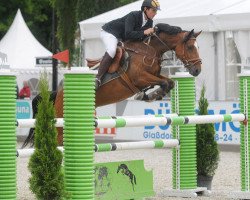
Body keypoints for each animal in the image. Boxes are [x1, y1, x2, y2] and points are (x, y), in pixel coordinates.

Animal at [22, 23, 202, 147]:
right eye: (190, 47)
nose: (197, 70)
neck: (149, 50)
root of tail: (58, 93)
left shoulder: (154, 75)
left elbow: (169, 82)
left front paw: (150, 95)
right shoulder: (140, 78)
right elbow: (163, 82)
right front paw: (150, 95)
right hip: (60, 124)